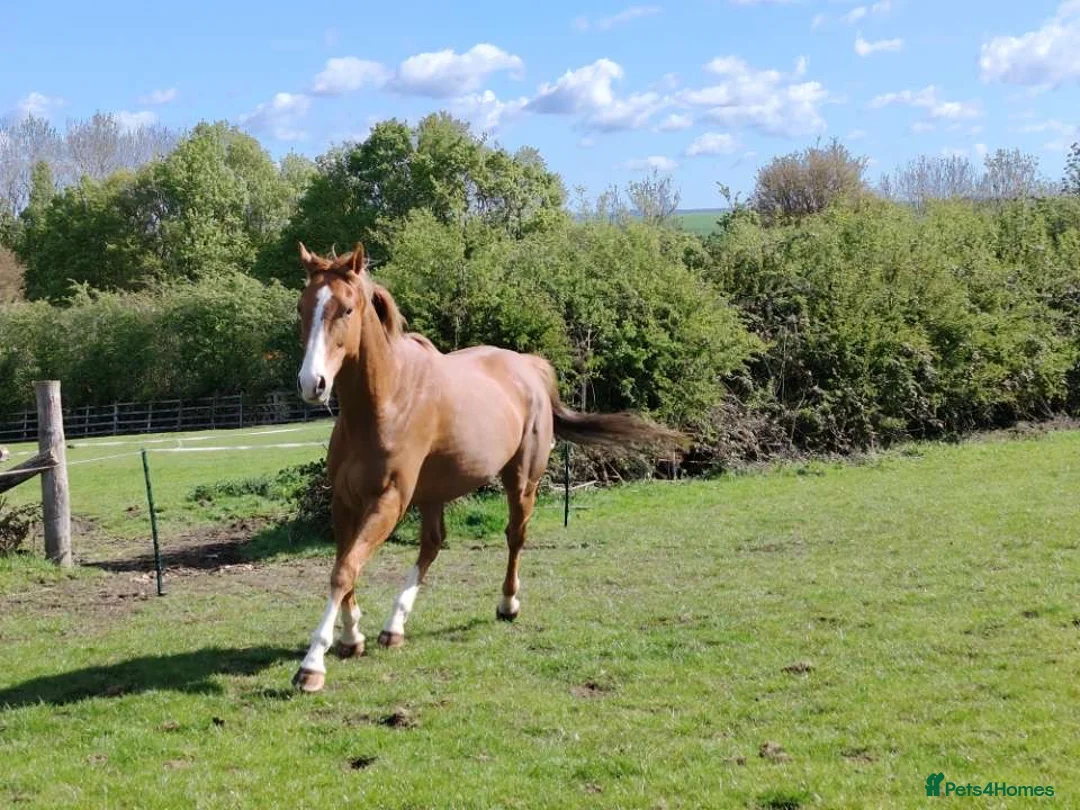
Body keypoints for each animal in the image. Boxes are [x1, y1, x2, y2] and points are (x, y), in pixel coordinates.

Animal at [291, 242, 682, 692]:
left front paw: (312, 664)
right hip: (434, 492)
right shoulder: (344, 501)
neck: (385, 402)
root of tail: (530, 367)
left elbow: (344, 571)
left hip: (521, 480)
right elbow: (345, 566)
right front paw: (352, 636)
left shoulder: (388, 501)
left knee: (515, 536)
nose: (312, 383)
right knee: (433, 544)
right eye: (303, 307)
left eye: (347, 309)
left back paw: (507, 604)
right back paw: (394, 627)